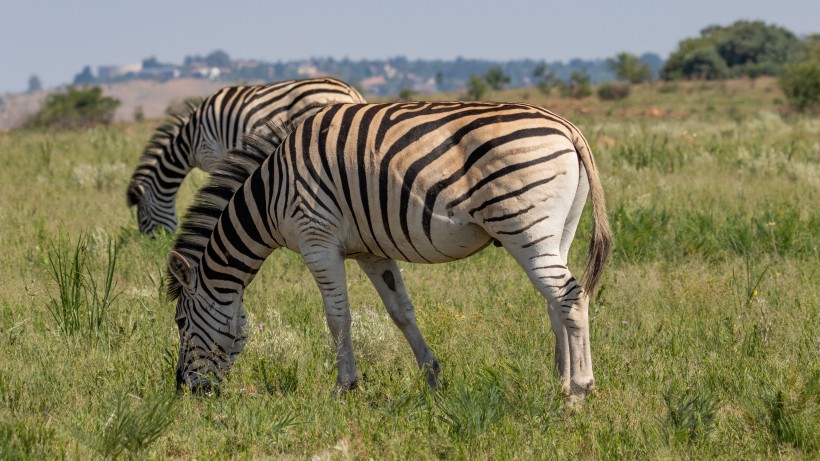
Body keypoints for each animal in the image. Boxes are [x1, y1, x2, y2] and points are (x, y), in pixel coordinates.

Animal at [167, 102, 612, 404]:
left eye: (180, 322)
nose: (183, 391)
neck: (271, 194)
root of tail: (567, 127)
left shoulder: (317, 240)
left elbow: (337, 317)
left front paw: (344, 388)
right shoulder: (370, 251)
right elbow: (401, 312)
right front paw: (432, 378)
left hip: (524, 225)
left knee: (570, 297)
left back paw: (578, 393)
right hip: (556, 232)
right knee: (556, 301)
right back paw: (558, 384)